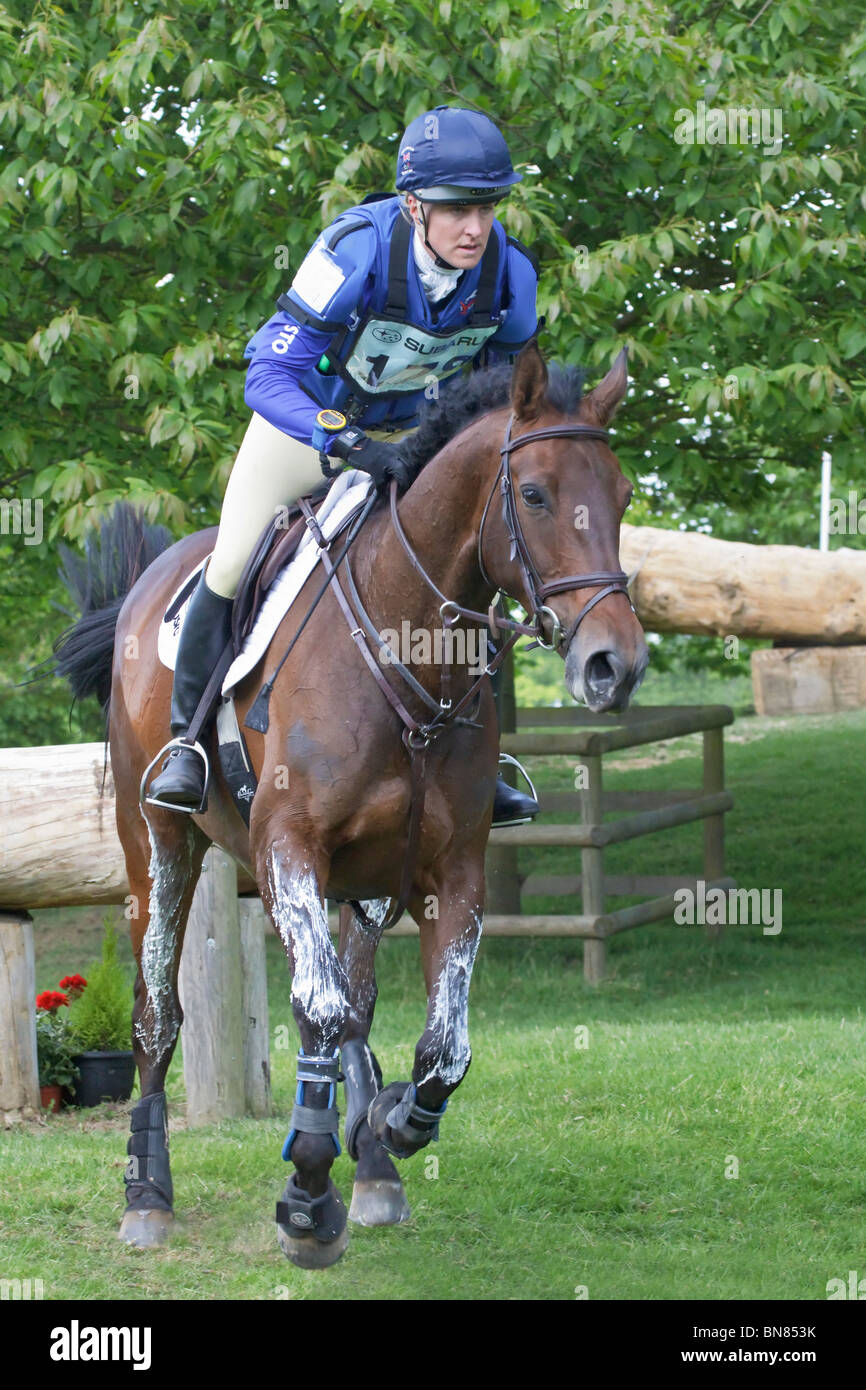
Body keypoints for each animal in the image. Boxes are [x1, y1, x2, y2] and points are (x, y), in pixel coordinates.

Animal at [54, 340, 648, 1267]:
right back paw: (148, 1194)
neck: (406, 649)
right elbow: (322, 1012)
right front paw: (306, 1196)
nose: (611, 665)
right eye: (536, 494)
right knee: (159, 1013)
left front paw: (389, 1127)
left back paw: (370, 1164)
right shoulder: (289, 849)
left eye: (621, 497)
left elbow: (440, 1048)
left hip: (361, 880)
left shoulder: (450, 871)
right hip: (160, 849)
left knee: (354, 1006)